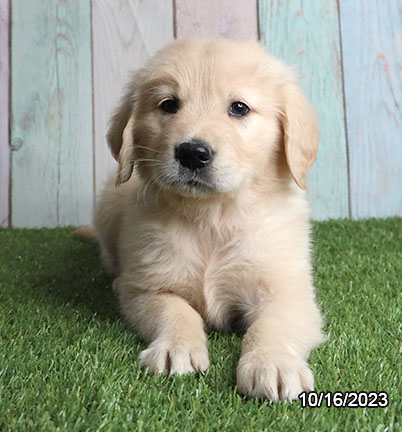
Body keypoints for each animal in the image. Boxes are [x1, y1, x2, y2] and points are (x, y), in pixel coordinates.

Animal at [95, 37, 326, 402]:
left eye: (239, 108)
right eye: (168, 105)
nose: (192, 152)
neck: (213, 217)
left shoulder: (290, 294)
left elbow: (270, 325)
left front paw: (273, 364)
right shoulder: (143, 288)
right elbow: (177, 311)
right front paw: (176, 348)